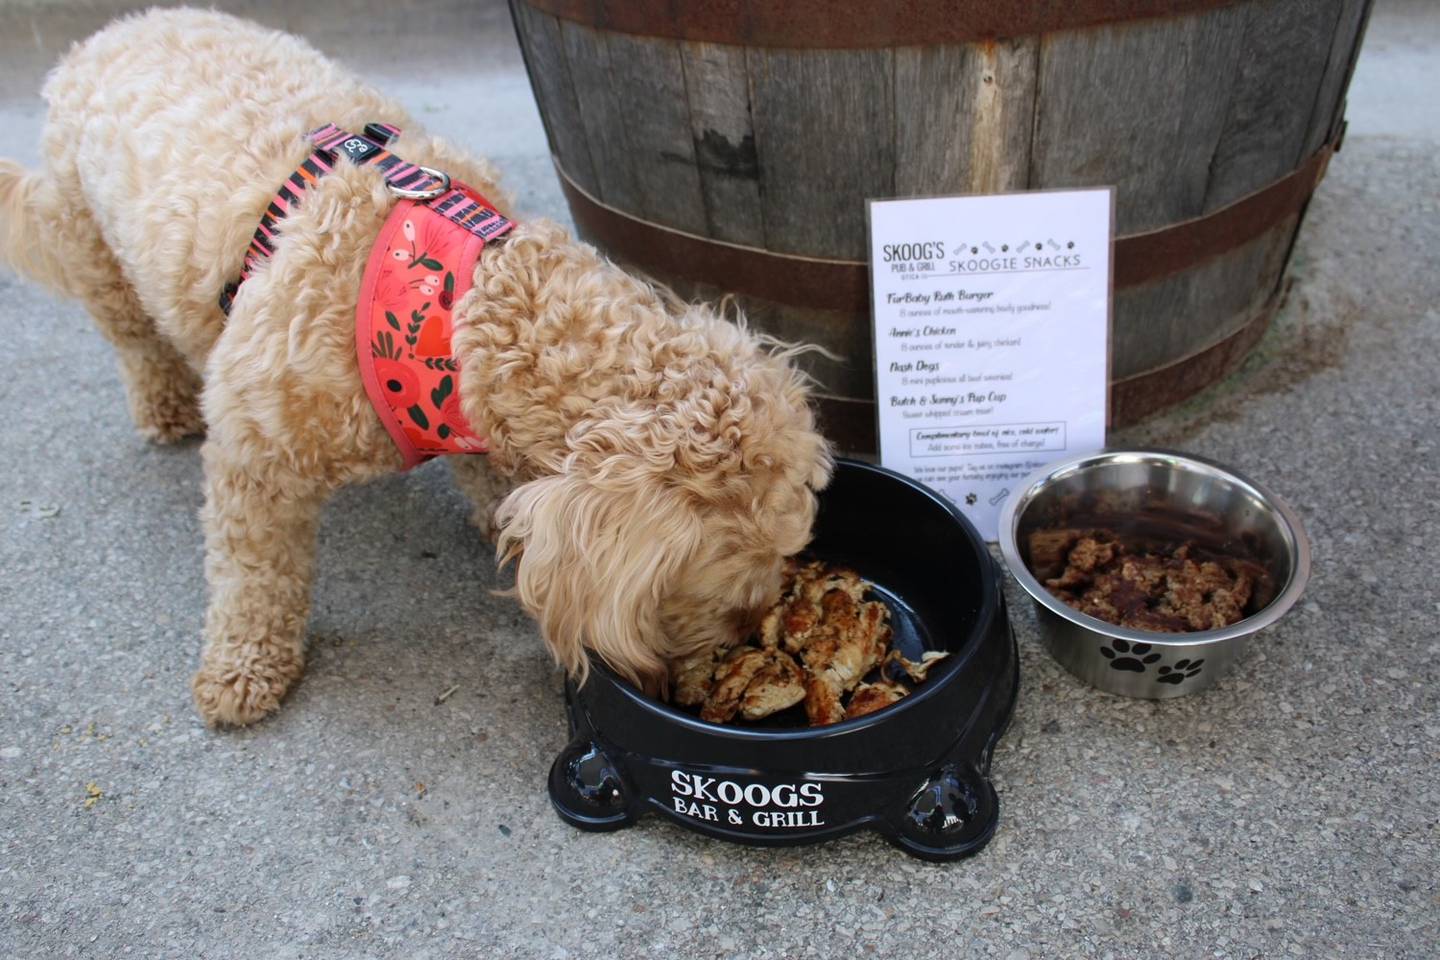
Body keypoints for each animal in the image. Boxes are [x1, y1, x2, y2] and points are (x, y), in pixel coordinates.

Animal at [2, 9, 835, 728]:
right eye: (726, 571)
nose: (749, 627)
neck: (463, 307)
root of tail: (118, 26)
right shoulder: (253, 456)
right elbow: (252, 577)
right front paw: (243, 668)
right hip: (91, 244)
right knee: (133, 336)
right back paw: (165, 404)